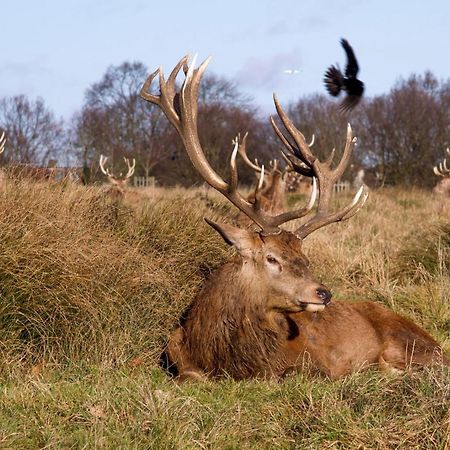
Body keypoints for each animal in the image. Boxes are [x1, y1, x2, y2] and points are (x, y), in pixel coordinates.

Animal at [140, 55, 446, 380]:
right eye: (272, 258)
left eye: (305, 258)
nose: (323, 293)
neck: (219, 355)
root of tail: (439, 346)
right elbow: (189, 374)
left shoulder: (310, 364)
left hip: (406, 345)